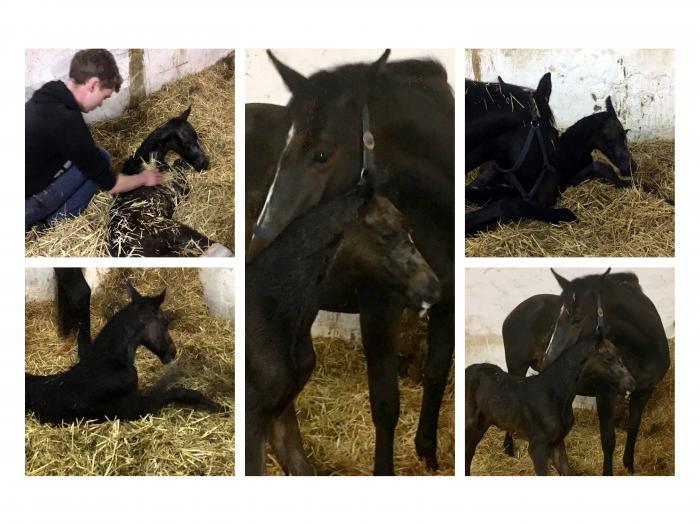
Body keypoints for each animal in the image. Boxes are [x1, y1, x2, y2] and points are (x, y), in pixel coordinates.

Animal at [26, 280, 220, 424]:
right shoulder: (135, 407)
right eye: (165, 322)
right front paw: (217, 406)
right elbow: (179, 392)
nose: (172, 352)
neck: (107, 365)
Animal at [108, 105, 231, 256]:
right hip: (174, 230)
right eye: (185, 143)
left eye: (197, 138)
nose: (204, 164)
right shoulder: (178, 187)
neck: (146, 159)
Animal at [464, 336, 636, 474]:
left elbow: (567, 472)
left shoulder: (557, 444)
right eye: (608, 358)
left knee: (469, 452)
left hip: (481, 425)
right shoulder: (538, 447)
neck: (555, 394)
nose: (631, 383)